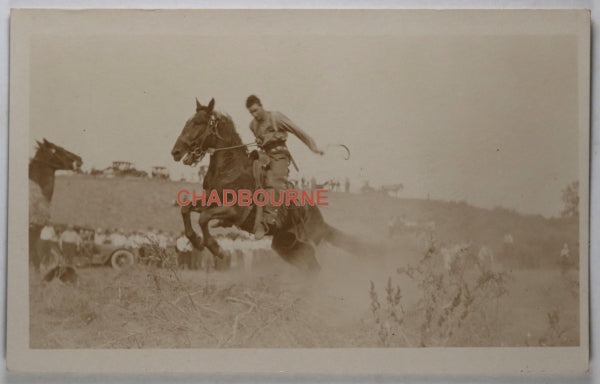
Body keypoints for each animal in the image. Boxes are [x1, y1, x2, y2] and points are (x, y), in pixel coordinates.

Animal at [169, 97, 366, 272]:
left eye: (198, 123)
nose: (175, 152)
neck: (230, 169)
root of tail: (322, 223)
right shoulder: (209, 202)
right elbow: (185, 209)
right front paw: (196, 241)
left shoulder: (234, 211)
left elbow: (203, 218)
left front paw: (216, 248)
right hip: (287, 247)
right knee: (311, 269)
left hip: (302, 245)